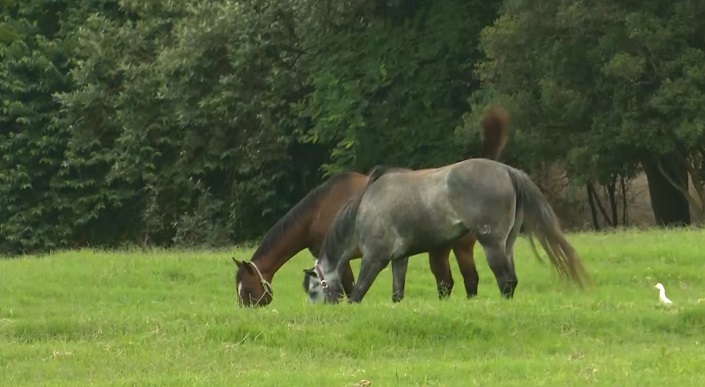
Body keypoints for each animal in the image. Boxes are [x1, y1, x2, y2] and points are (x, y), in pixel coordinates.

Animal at [234, 107, 508, 308]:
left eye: (246, 289)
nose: (245, 310)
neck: (319, 211)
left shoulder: (343, 257)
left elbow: (345, 289)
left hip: (452, 248)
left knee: (459, 281)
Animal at [310, 156, 592, 304]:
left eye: (314, 290)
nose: (326, 307)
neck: (366, 206)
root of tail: (506, 170)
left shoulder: (374, 259)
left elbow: (358, 292)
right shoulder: (400, 259)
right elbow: (397, 293)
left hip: (491, 244)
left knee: (504, 280)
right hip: (507, 244)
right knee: (511, 279)